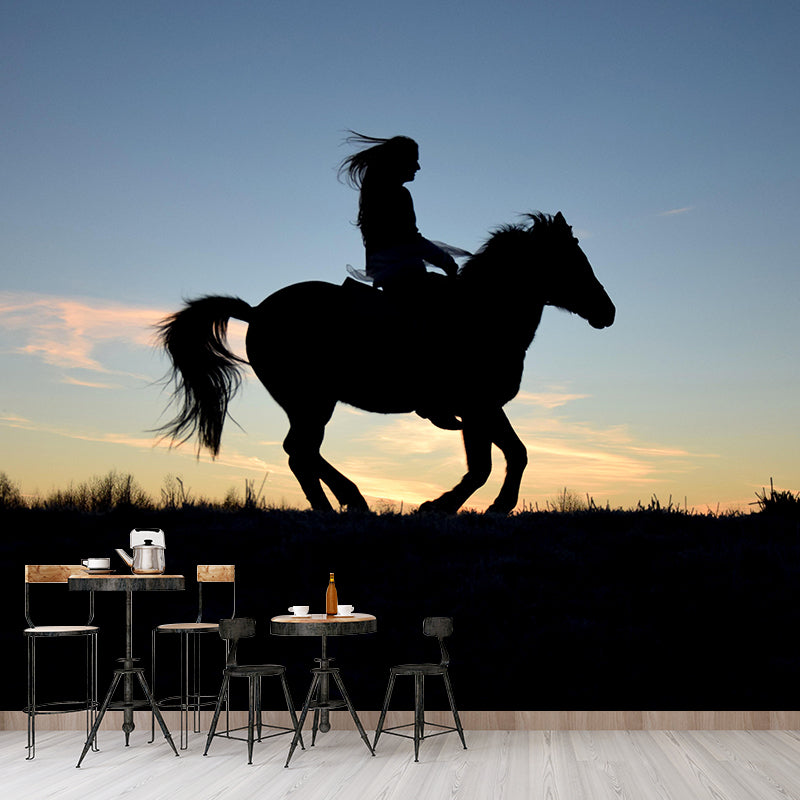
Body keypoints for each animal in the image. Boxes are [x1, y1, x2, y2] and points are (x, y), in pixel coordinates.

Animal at [156, 212, 615, 515]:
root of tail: (256, 312)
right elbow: (490, 463)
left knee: (302, 452)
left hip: (310, 403)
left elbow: (505, 457)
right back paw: (344, 504)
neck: (481, 315)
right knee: (299, 451)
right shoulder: (477, 406)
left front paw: (474, 507)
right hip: (311, 401)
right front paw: (449, 506)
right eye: (571, 261)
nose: (607, 312)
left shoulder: (482, 409)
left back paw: (343, 504)